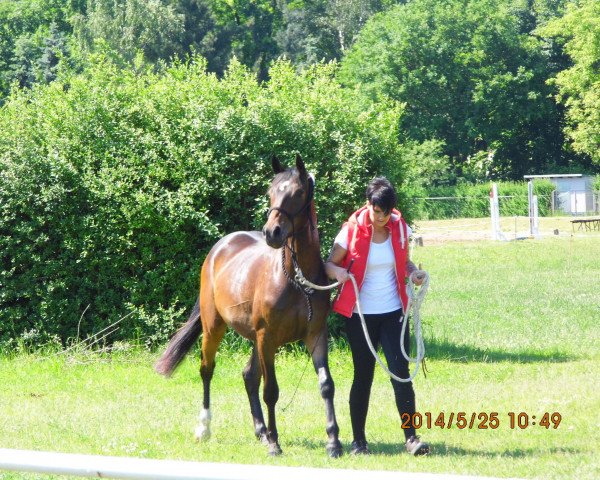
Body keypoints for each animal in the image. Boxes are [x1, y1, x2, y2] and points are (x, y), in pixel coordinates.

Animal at [155, 154, 342, 458]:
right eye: (271, 192)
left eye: (298, 193)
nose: (272, 232)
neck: (295, 277)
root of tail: (220, 247)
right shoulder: (268, 338)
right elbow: (271, 391)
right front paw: (276, 443)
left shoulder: (315, 336)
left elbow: (326, 385)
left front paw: (333, 442)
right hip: (215, 328)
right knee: (207, 370)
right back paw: (205, 428)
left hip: (255, 338)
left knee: (249, 376)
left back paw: (261, 432)